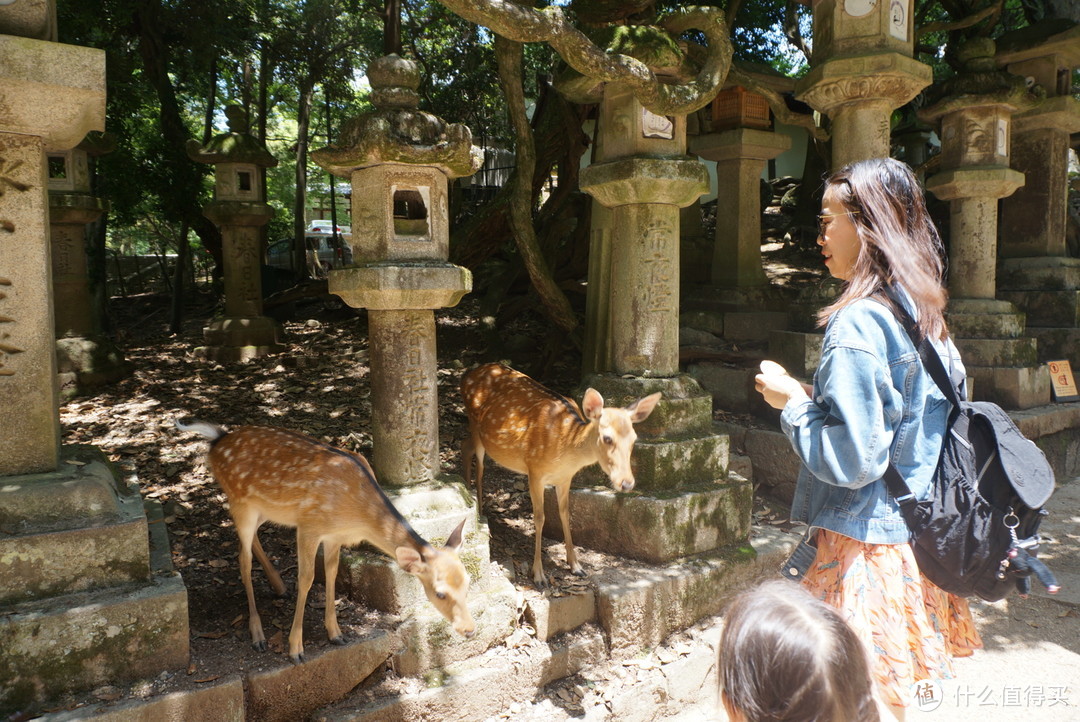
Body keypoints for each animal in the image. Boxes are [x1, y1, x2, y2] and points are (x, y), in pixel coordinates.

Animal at [176, 418, 473, 660]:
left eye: (468, 583)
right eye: (440, 593)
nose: (469, 630)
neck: (356, 512)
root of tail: (218, 439)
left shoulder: (334, 535)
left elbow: (331, 572)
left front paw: (336, 633)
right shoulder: (309, 526)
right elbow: (307, 578)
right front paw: (295, 648)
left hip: (265, 509)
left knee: (248, 542)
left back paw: (278, 586)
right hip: (241, 501)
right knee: (243, 561)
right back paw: (258, 634)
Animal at [460, 362, 660, 587]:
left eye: (634, 438)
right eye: (607, 438)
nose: (626, 483)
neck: (566, 448)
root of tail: (467, 374)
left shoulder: (565, 478)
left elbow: (565, 513)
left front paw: (576, 566)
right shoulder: (535, 471)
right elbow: (539, 518)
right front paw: (539, 575)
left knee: (464, 445)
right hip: (476, 428)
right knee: (479, 465)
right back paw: (478, 509)